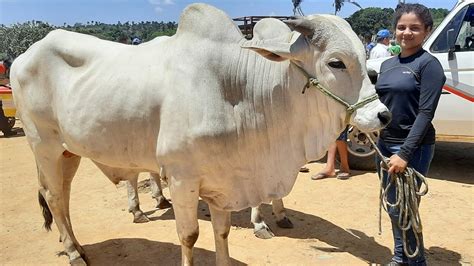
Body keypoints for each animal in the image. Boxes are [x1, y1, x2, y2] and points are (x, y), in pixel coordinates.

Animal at [9, 3, 390, 264]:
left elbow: (221, 231)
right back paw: (75, 251)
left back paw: (75, 244)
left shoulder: (225, 181)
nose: (382, 115)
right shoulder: (181, 178)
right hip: (43, 146)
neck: (236, 89)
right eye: (336, 62)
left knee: (62, 197)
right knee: (53, 197)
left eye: (364, 56)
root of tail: (25, 54)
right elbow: (189, 235)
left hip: (68, 151)